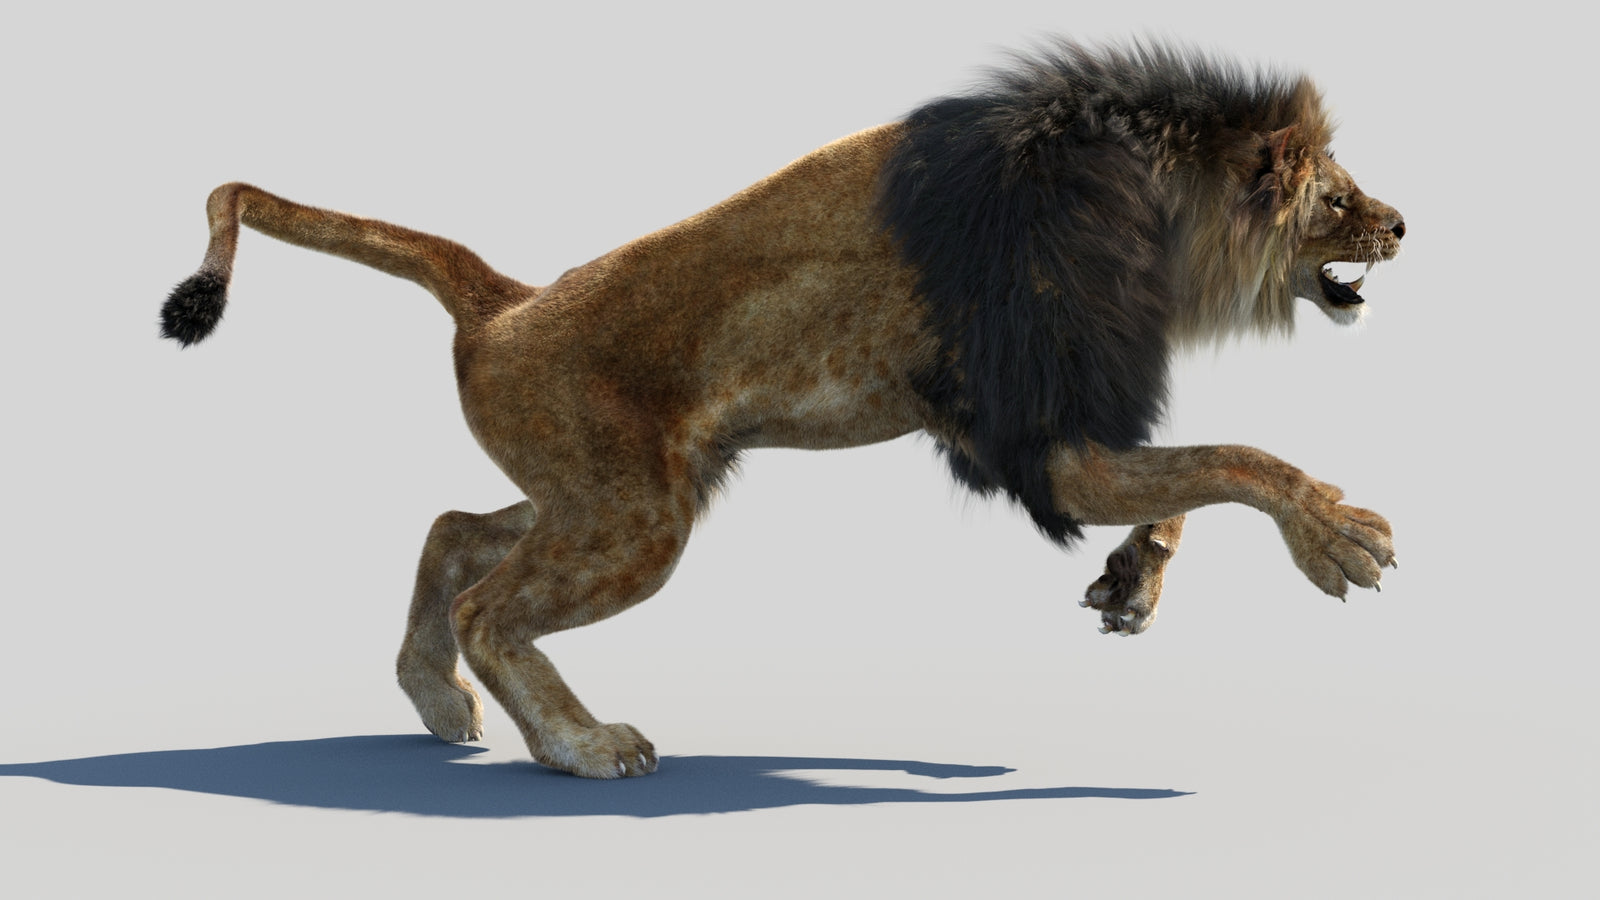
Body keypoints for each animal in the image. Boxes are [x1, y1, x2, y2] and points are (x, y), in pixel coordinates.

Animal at [159, 41, 1404, 778]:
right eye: (1336, 196)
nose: (1401, 225)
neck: (1159, 214)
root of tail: (505, 301)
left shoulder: (1060, 427)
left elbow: (1193, 478)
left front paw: (1131, 581)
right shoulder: (1032, 439)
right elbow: (1237, 457)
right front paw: (1338, 536)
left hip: (613, 490)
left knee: (453, 529)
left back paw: (433, 699)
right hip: (634, 520)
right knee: (490, 604)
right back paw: (580, 744)